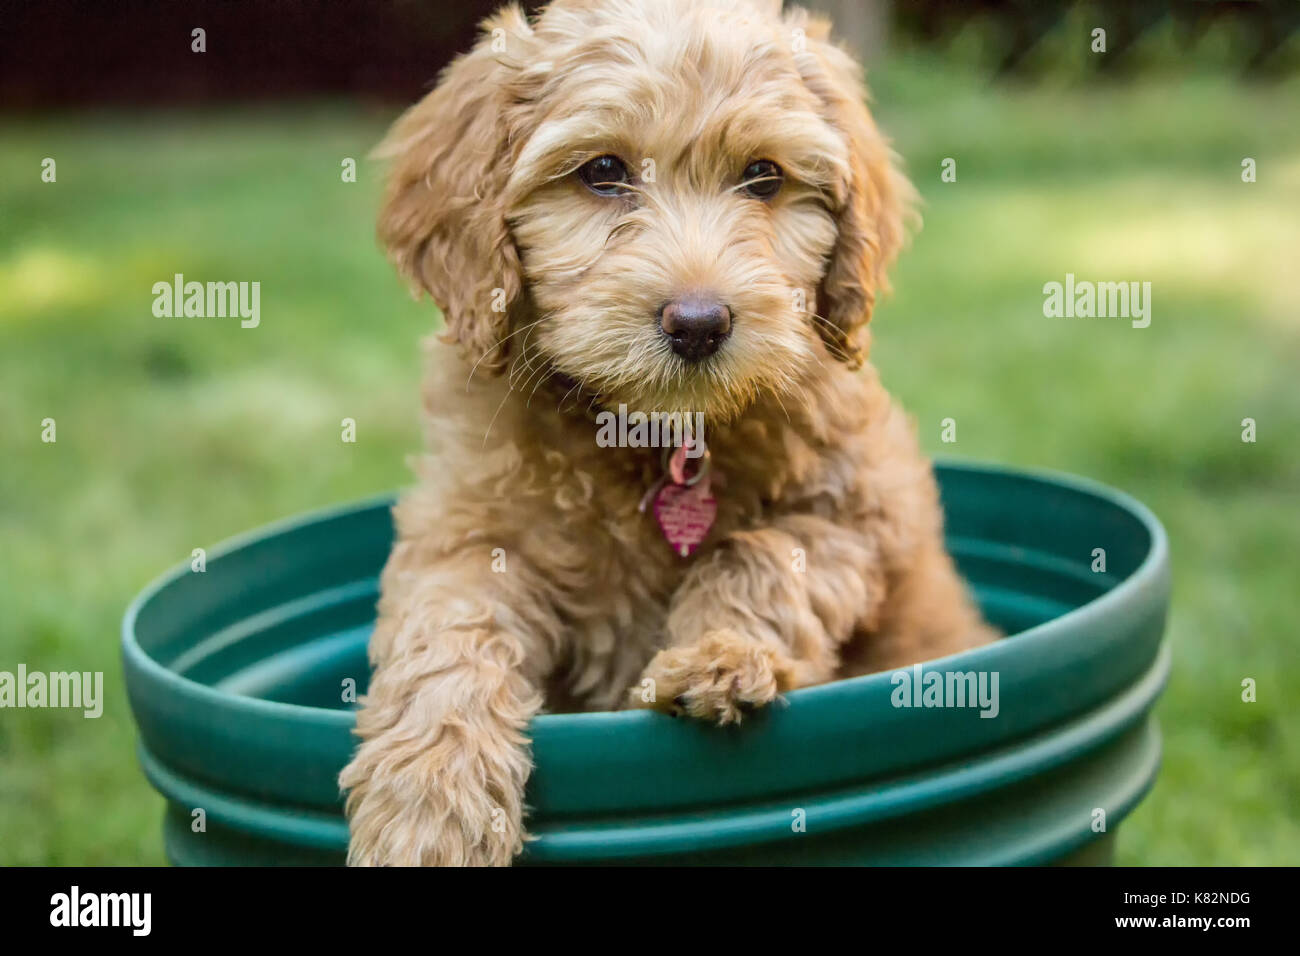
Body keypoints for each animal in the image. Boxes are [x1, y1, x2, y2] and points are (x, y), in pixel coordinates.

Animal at [338, 0, 993, 868]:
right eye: (602, 171)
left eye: (764, 177)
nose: (699, 323)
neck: (652, 435)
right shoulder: (463, 531)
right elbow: (445, 632)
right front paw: (428, 807)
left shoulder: (866, 505)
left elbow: (765, 551)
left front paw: (719, 655)